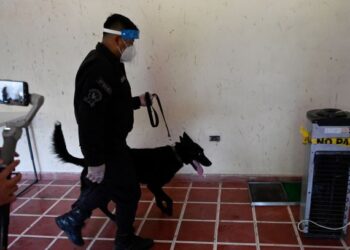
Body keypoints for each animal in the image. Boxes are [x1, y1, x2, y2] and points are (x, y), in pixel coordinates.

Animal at [52, 122, 211, 219]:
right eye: (199, 153)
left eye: (203, 151)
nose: (210, 163)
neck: (174, 154)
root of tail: (87, 161)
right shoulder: (154, 185)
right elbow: (168, 199)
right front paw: (168, 210)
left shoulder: (154, 186)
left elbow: (159, 199)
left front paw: (162, 209)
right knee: (84, 204)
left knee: (88, 205)